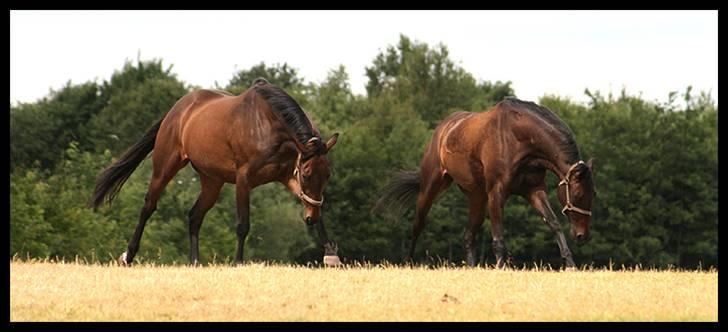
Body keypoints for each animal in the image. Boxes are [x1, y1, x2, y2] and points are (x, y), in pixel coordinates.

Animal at [89, 77, 340, 264]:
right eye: (307, 174)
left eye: (327, 175)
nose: (309, 218)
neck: (269, 125)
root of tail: (175, 111)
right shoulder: (244, 180)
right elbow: (242, 224)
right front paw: (238, 262)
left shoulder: (287, 176)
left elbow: (315, 207)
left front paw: (330, 255)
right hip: (165, 168)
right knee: (149, 206)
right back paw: (128, 255)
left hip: (212, 181)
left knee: (194, 216)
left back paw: (195, 262)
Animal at [378, 97, 596, 268]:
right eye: (577, 194)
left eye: (592, 195)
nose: (582, 236)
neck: (520, 139)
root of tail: (442, 130)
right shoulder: (496, 192)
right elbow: (498, 236)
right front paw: (502, 267)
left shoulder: (534, 190)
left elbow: (554, 223)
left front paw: (570, 264)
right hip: (431, 187)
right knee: (418, 224)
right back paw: (407, 262)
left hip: (477, 199)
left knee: (468, 237)